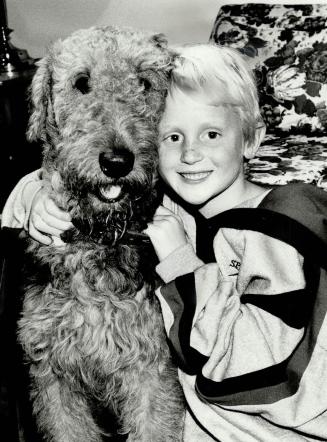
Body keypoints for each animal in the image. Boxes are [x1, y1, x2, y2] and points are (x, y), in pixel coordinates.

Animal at [18, 25, 184, 440]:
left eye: (145, 82)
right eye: (81, 82)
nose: (117, 162)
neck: (97, 239)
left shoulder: (151, 369)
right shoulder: (51, 373)